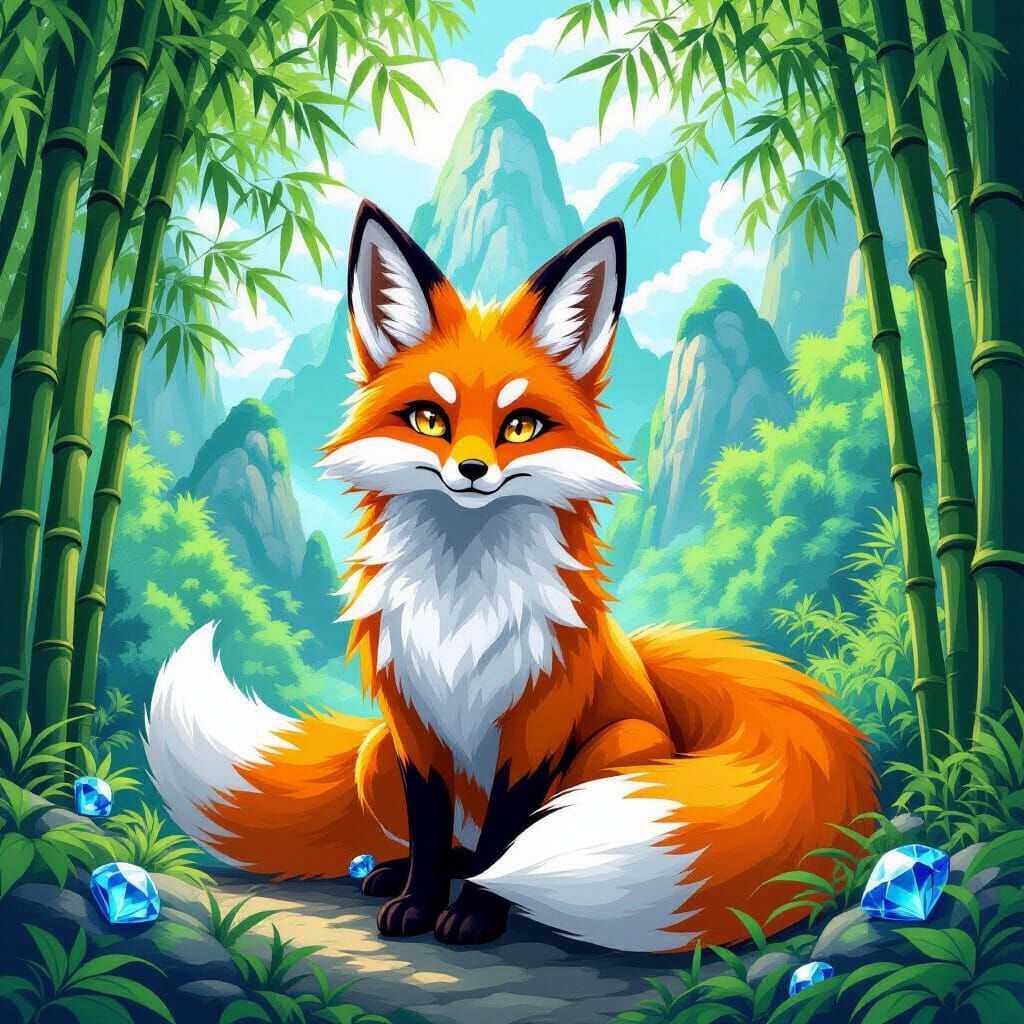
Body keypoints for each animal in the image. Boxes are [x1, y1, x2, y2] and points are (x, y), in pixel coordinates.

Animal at [145, 201, 878, 953]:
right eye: (429, 419)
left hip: (622, 749)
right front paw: (418, 903)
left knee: (511, 844)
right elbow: (431, 831)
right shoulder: (414, 729)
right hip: (374, 756)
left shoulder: (534, 733)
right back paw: (390, 873)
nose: (471, 471)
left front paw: (474, 915)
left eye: (521, 426)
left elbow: (506, 839)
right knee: (447, 844)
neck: (460, 604)